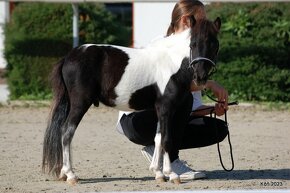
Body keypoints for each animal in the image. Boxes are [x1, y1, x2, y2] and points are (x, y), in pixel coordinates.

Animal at [42, 17, 221, 185]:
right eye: (193, 44)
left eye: (215, 45)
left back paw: (64, 173)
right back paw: (71, 175)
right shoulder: (166, 108)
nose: (200, 77)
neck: (172, 63)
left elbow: (158, 138)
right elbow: (166, 139)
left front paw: (158, 173)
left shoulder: (160, 109)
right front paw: (172, 174)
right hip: (80, 104)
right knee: (67, 132)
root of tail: (69, 57)